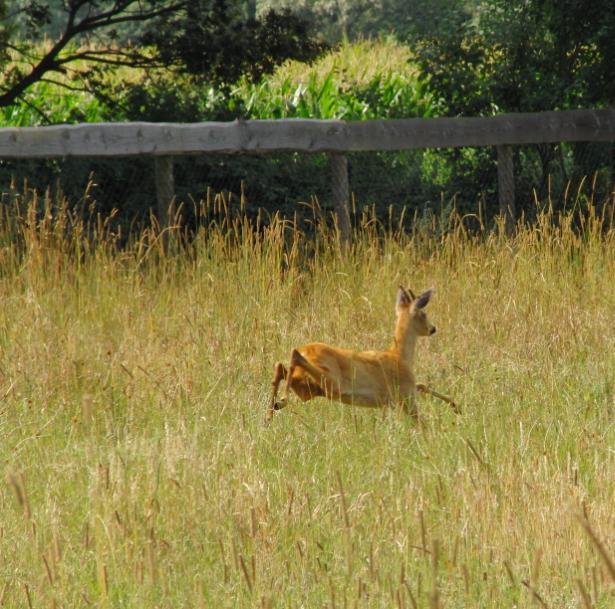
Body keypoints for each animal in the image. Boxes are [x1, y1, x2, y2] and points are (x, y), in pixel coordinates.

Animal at [268, 286, 460, 422]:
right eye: (423, 313)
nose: (432, 329)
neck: (400, 356)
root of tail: (306, 349)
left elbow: (421, 385)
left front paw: (455, 405)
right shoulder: (405, 396)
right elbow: (421, 421)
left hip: (308, 388)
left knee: (280, 366)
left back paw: (270, 412)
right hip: (331, 382)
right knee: (293, 355)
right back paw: (280, 402)